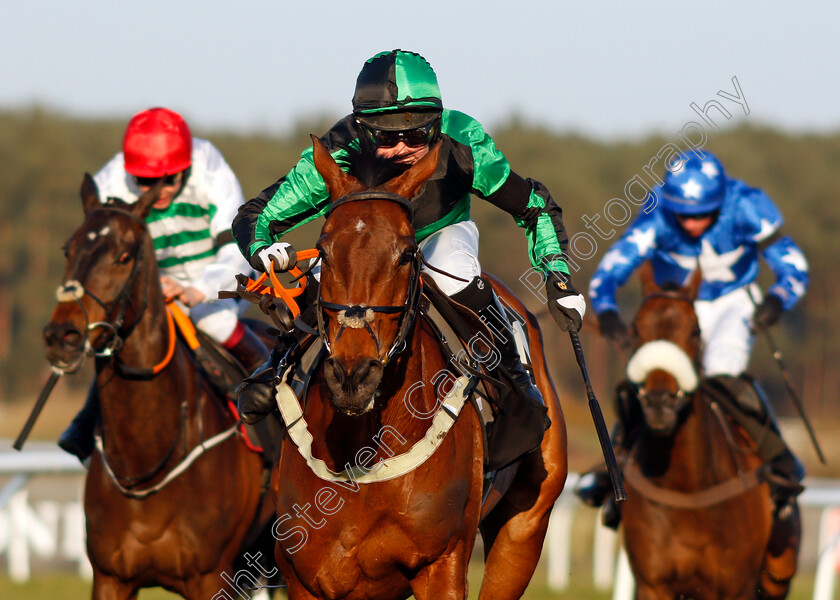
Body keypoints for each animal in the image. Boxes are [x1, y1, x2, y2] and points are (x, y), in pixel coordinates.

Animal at [268, 137, 572, 600]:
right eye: (322, 250)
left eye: (406, 253)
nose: (353, 378)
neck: (362, 446)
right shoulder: (304, 578)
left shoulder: (441, 564)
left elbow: (530, 204)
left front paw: (566, 296)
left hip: (525, 527)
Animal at [616, 266, 800, 600]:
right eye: (635, 329)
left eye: (694, 330)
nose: (659, 402)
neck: (687, 489)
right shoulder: (653, 584)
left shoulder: (736, 586)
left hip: (777, 576)